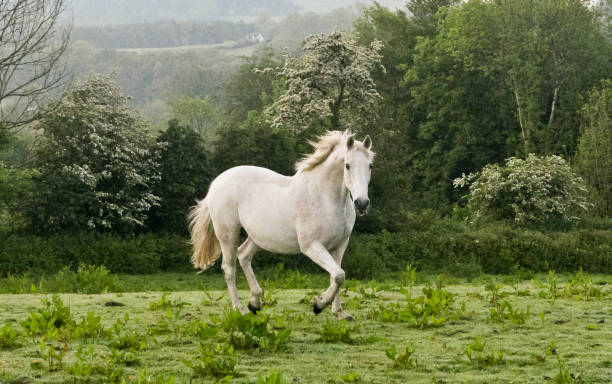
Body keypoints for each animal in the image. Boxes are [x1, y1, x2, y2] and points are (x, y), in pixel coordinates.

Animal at [190, 130, 372, 320]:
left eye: (370, 165)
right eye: (347, 165)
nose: (361, 203)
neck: (326, 197)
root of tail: (216, 183)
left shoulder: (340, 245)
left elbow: (336, 275)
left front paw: (339, 312)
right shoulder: (311, 246)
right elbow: (338, 275)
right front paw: (319, 305)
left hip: (257, 237)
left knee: (244, 255)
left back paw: (255, 303)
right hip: (228, 235)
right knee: (229, 267)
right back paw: (239, 308)